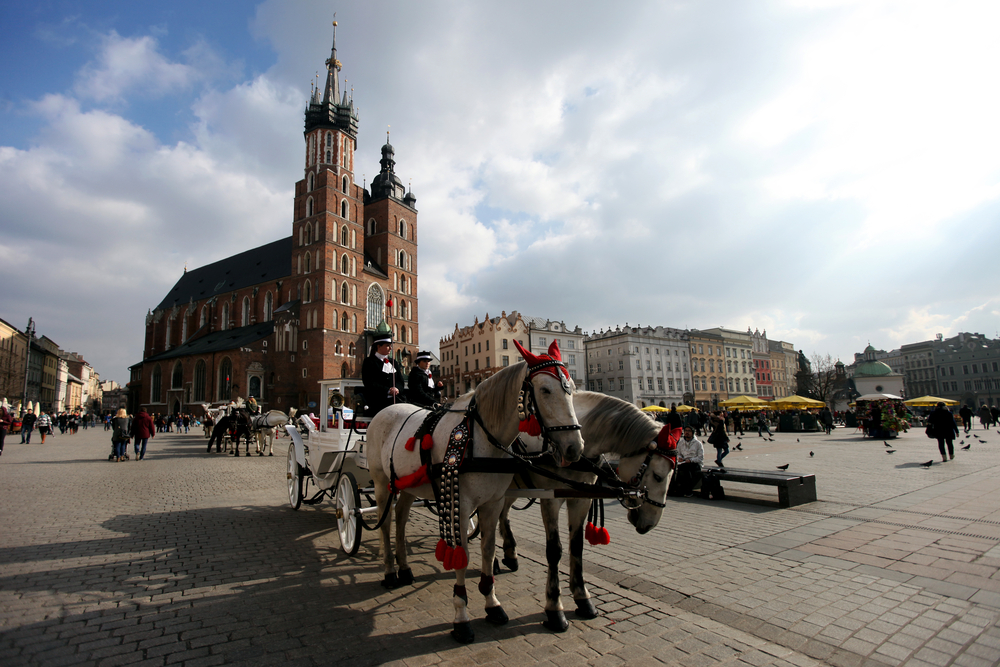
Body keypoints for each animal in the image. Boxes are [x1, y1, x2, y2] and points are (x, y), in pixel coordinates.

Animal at [368, 342, 584, 644]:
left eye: (571, 388)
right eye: (544, 390)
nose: (575, 449)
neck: (481, 438)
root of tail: (389, 409)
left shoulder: (492, 503)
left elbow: (487, 549)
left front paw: (492, 604)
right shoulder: (460, 503)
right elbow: (463, 555)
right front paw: (461, 619)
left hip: (408, 486)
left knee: (400, 519)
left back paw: (405, 569)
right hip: (380, 482)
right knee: (386, 523)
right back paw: (389, 571)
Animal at [496, 394, 676, 636]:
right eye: (657, 476)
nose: (650, 524)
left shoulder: (581, 499)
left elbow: (577, 546)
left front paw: (583, 598)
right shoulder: (550, 499)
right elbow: (554, 551)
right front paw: (555, 609)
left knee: (502, 515)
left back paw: (510, 554)